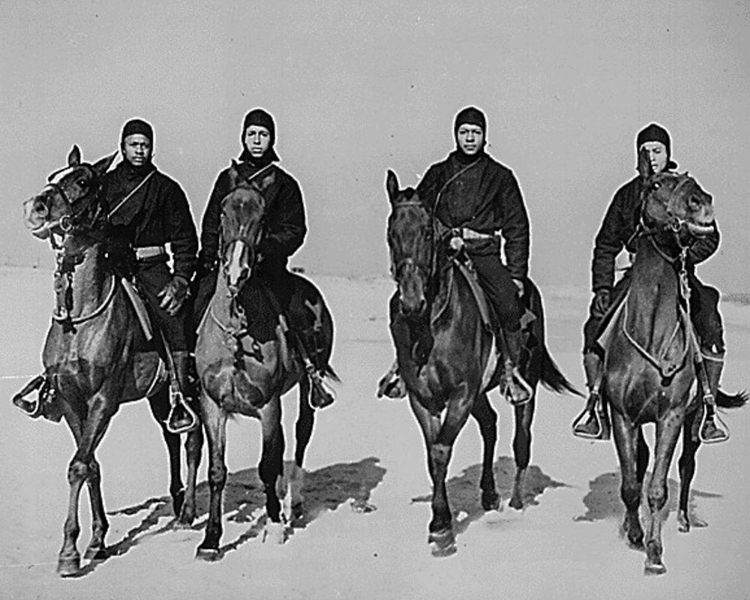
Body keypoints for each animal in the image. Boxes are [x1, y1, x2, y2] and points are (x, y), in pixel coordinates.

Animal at [19, 146, 203, 576]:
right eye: (54, 175)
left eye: (84, 181)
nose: (36, 206)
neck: (79, 319)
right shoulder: (72, 401)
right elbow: (90, 465)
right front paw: (98, 540)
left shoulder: (103, 400)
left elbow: (78, 466)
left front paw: (69, 552)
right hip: (159, 397)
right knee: (172, 437)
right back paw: (176, 499)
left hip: (192, 390)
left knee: (193, 441)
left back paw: (188, 511)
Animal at [194, 162, 338, 560]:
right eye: (224, 210)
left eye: (262, 217)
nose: (237, 271)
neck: (236, 330)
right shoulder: (212, 406)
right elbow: (217, 471)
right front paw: (211, 540)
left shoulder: (268, 405)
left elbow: (267, 465)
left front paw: (273, 526)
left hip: (306, 386)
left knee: (301, 435)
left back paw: (294, 501)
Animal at [384, 171, 580, 556]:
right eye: (391, 232)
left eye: (427, 232)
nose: (411, 302)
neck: (431, 324)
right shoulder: (423, 399)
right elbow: (432, 454)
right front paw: (440, 521)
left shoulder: (460, 394)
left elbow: (441, 450)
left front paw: (442, 528)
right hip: (478, 394)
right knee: (489, 424)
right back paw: (489, 493)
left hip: (521, 388)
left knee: (521, 441)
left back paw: (516, 500)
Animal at [604, 171, 748, 576]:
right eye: (655, 185)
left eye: (690, 181)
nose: (702, 202)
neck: (651, 332)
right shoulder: (623, 415)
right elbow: (631, 483)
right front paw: (634, 533)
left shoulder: (671, 415)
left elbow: (657, 488)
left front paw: (655, 553)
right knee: (641, 463)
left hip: (695, 417)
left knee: (686, 464)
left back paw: (683, 518)